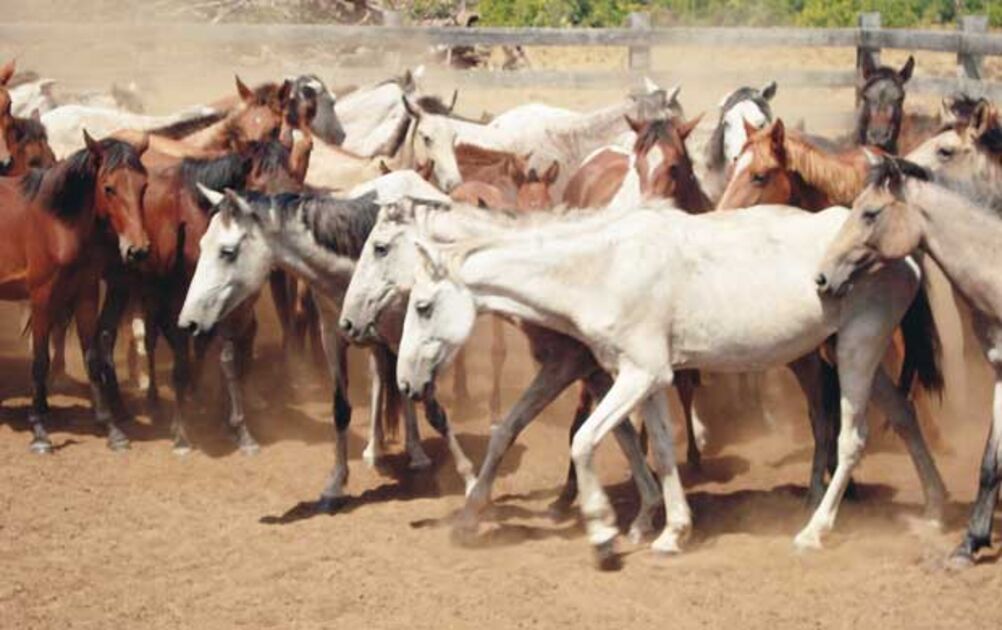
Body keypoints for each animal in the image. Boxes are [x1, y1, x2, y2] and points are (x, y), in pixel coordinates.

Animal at [0, 133, 150, 453]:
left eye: (144, 186)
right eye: (108, 188)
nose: (138, 250)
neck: (56, 223)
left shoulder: (85, 295)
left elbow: (92, 358)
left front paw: (112, 429)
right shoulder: (41, 298)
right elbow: (40, 360)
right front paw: (40, 432)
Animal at [177, 185, 478, 507]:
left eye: (228, 252)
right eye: (202, 244)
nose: (188, 322)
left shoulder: (408, 339)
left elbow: (431, 406)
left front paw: (469, 479)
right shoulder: (332, 339)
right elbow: (341, 409)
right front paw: (335, 483)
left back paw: (416, 453)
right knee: (380, 381)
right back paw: (374, 449)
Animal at [391, 199, 946, 568]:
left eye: (423, 306)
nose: (406, 384)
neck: (603, 269)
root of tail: (905, 252)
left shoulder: (640, 374)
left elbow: (583, 442)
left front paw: (603, 533)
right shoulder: (645, 380)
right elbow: (658, 450)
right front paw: (671, 533)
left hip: (857, 350)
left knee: (853, 439)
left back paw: (814, 532)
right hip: (855, 357)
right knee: (903, 416)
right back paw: (936, 507)